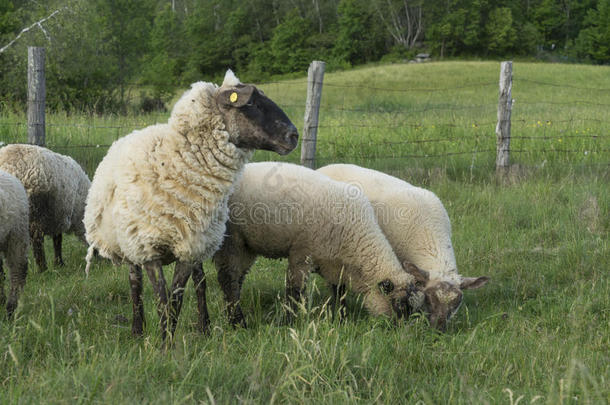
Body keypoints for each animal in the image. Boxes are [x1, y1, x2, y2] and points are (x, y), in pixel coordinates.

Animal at [0, 144, 91, 274]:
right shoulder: (59, 214)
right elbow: (58, 240)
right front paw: (59, 263)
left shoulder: (57, 215)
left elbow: (57, 239)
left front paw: (59, 263)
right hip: (34, 211)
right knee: (37, 240)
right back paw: (43, 269)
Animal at [82, 70, 296, 340]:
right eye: (253, 104)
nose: (294, 136)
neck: (176, 162)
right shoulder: (149, 249)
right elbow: (162, 299)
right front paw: (164, 343)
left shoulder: (190, 245)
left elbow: (176, 299)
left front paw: (170, 337)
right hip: (129, 242)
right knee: (134, 283)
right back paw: (137, 329)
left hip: (197, 241)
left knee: (200, 281)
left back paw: (204, 326)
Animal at [210, 160, 422, 326]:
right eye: (399, 305)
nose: (404, 331)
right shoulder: (301, 253)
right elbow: (294, 291)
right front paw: (288, 322)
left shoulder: (334, 264)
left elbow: (339, 292)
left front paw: (341, 318)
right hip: (231, 240)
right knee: (228, 278)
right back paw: (238, 322)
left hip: (246, 245)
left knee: (237, 279)